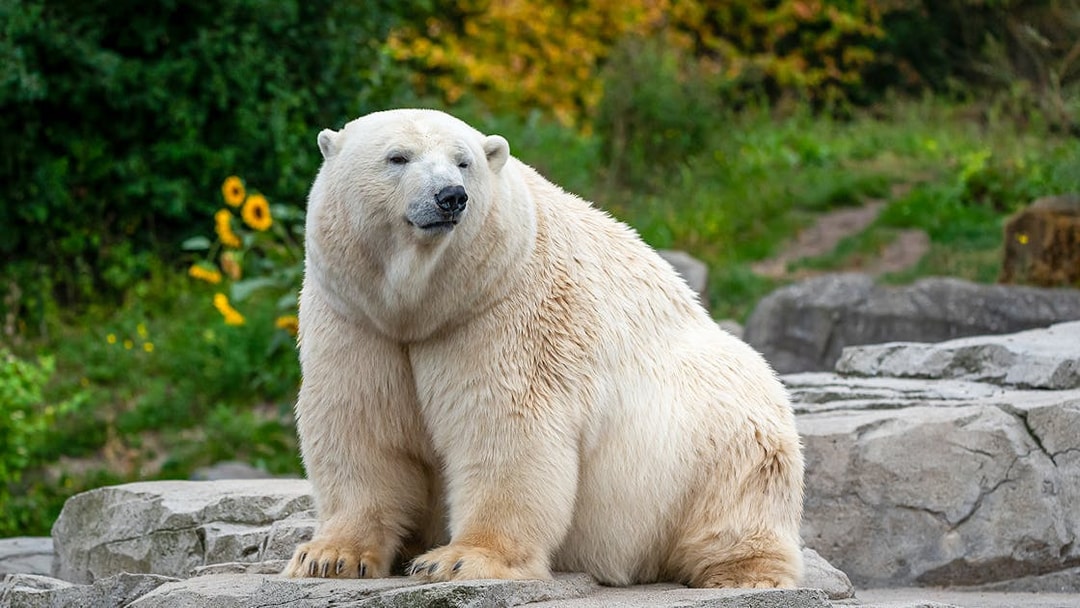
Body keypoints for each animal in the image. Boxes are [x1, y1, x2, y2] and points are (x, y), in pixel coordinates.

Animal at [283, 108, 805, 588]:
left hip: (717, 432)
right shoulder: (355, 317)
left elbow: (506, 427)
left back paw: (743, 575)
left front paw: (459, 559)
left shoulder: (503, 311)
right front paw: (329, 557)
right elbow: (359, 423)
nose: (450, 196)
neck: (427, 307)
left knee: (738, 494)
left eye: (464, 161)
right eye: (398, 157)